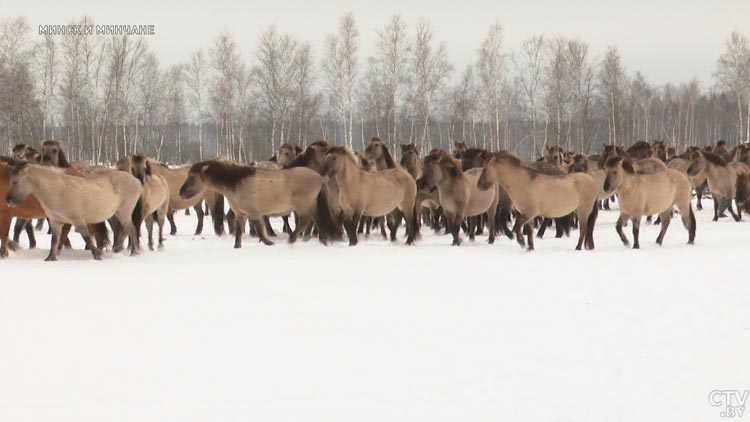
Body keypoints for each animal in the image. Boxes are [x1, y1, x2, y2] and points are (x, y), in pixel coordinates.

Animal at [5, 162, 142, 258]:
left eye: (15, 182)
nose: (8, 200)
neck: (57, 190)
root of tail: (137, 182)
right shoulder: (55, 221)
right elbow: (54, 239)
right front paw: (50, 257)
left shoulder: (78, 220)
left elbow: (86, 237)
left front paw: (97, 254)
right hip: (116, 214)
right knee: (125, 230)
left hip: (123, 212)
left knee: (131, 230)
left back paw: (133, 252)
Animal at [178, 160, 336, 249]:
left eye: (192, 177)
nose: (181, 193)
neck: (237, 183)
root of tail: (320, 178)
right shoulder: (241, 214)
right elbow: (239, 231)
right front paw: (237, 246)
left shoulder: (254, 213)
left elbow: (260, 229)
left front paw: (269, 242)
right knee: (317, 220)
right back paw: (323, 241)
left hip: (303, 206)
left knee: (305, 221)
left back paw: (291, 240)